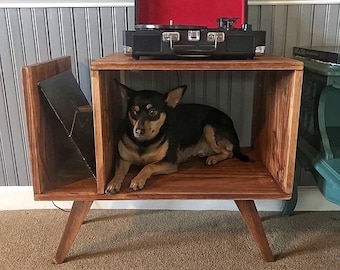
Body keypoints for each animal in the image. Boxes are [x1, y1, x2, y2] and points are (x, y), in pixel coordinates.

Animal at [106, 81, 250, 193]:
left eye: (153, 112)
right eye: (133, 112)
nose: (138, 131)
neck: (144, 143)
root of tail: (231, 124)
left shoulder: (169, 162)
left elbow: (148, 166)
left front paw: (137, 180)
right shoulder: (123, 159)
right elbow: (118, 172)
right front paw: (113, 183)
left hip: (208, 128)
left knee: (229, 152)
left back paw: (214, 158)